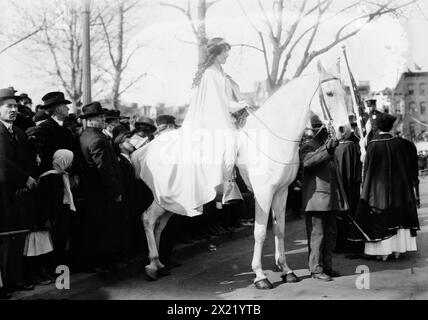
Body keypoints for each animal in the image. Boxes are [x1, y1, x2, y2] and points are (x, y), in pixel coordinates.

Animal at [133, 61, 352, 288]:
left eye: (344, 93)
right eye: (329, 93)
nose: (345, 130)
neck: (271, 138)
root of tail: (145, 149)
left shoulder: (281, 192)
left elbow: (280, 229)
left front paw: (286, 270)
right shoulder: (263, 194)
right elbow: (260, 232)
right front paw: (260, 276)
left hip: (175, 203)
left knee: (159, 225)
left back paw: (159, 264)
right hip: (166, 198)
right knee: (148, 219)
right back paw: (152, 266)